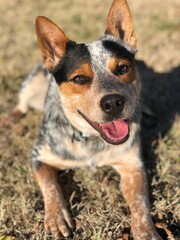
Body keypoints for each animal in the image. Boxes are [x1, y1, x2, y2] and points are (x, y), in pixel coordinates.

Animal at [5, 0, 163, 239]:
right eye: (79, 78)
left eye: (123, 68)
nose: (113, 102)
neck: (91, 140)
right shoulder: (38, 155)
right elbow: (49, 184)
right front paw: (56, 216)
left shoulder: (132, 165)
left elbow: (140, 202)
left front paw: (146, 232)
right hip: (32, 83)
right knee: (21, 105)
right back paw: (8, 118)